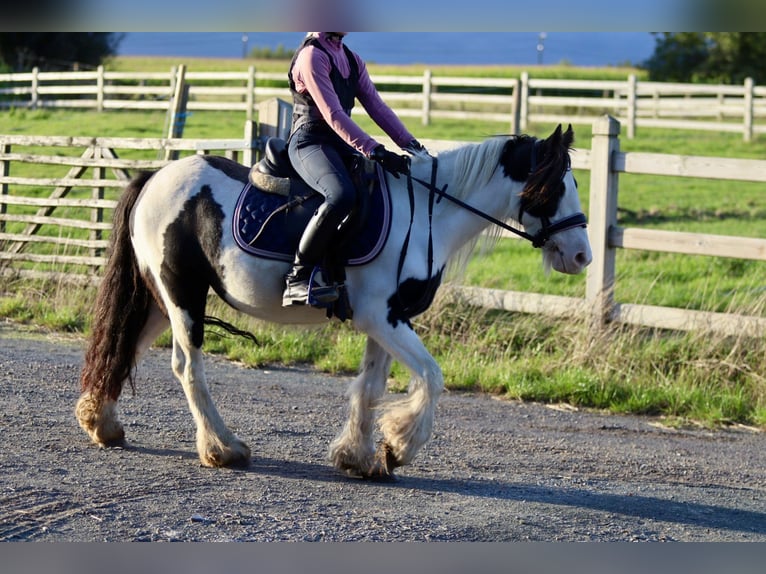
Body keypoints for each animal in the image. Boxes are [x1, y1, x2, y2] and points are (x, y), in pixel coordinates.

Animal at [75, 124, 592, 480]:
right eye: (555, 187)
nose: (582, 255)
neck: (427, 213)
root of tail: (155, 177)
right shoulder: (382, 317)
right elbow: (431, 377)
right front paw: (400, 445)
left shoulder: (386, 322)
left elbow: (370, 388)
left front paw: (359, 457)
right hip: (183, 295)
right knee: (187, 367)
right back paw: (222, 448)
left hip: (159, 300)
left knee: (125, 347)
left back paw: (102, 424)